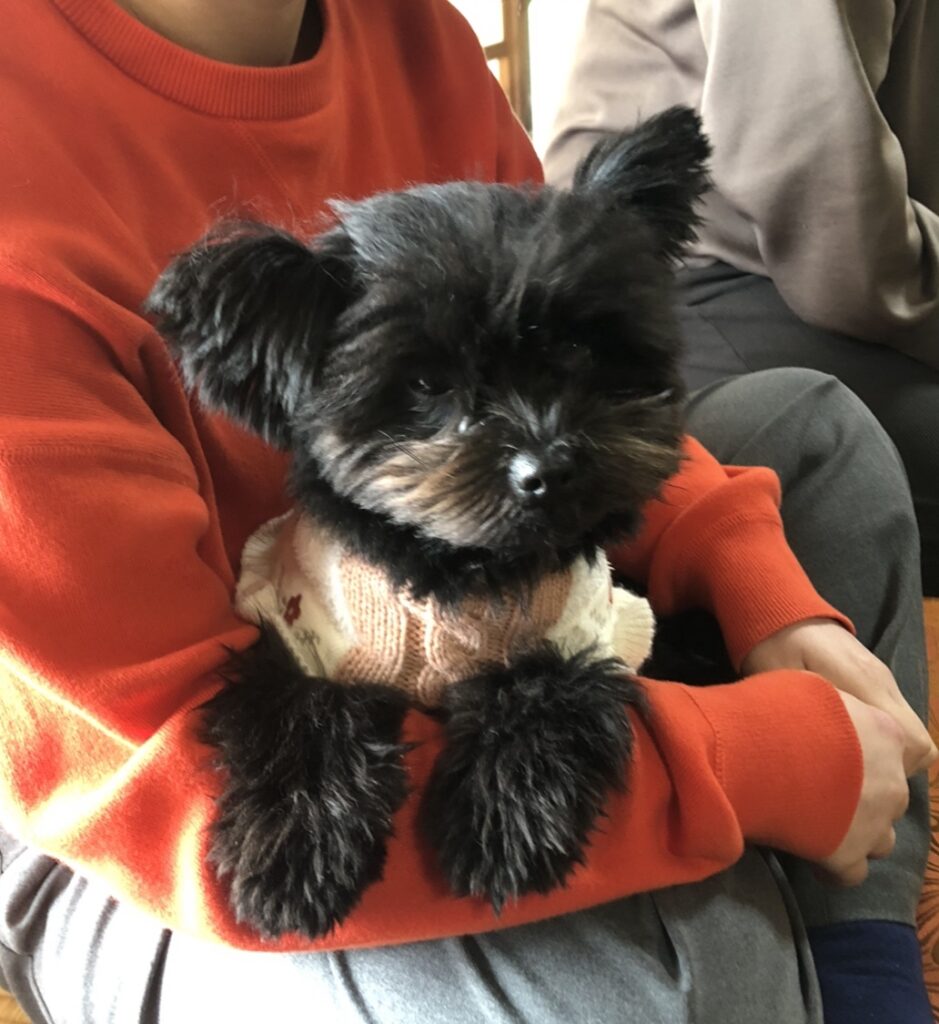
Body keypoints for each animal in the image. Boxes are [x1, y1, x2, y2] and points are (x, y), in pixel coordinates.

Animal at [146, 105, 712, 941]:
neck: (460, 571)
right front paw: (295, 843)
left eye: (580, 348)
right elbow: (302, 712)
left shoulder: (592, 628)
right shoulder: (296, 636)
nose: (549, 468)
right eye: (423, 384)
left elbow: (544, 686)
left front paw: (506, 815)